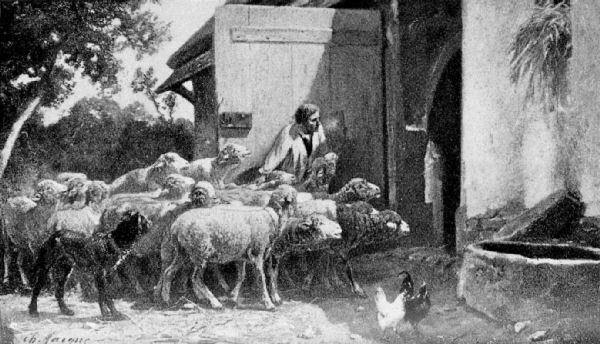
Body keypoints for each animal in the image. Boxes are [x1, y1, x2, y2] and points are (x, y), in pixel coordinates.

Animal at [155, 187, 296, 310]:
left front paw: (233, 297)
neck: (270, 217)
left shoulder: (242, 257)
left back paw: (166, 300)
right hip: (200, 253)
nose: (296, 212)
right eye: (294, 199)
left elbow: (241, 276)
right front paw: (268, 304)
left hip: (183, 252)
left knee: (169, 272)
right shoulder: (257, 254)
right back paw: (214, 303)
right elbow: (261, 279)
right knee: (195, 278)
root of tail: (176, 225)